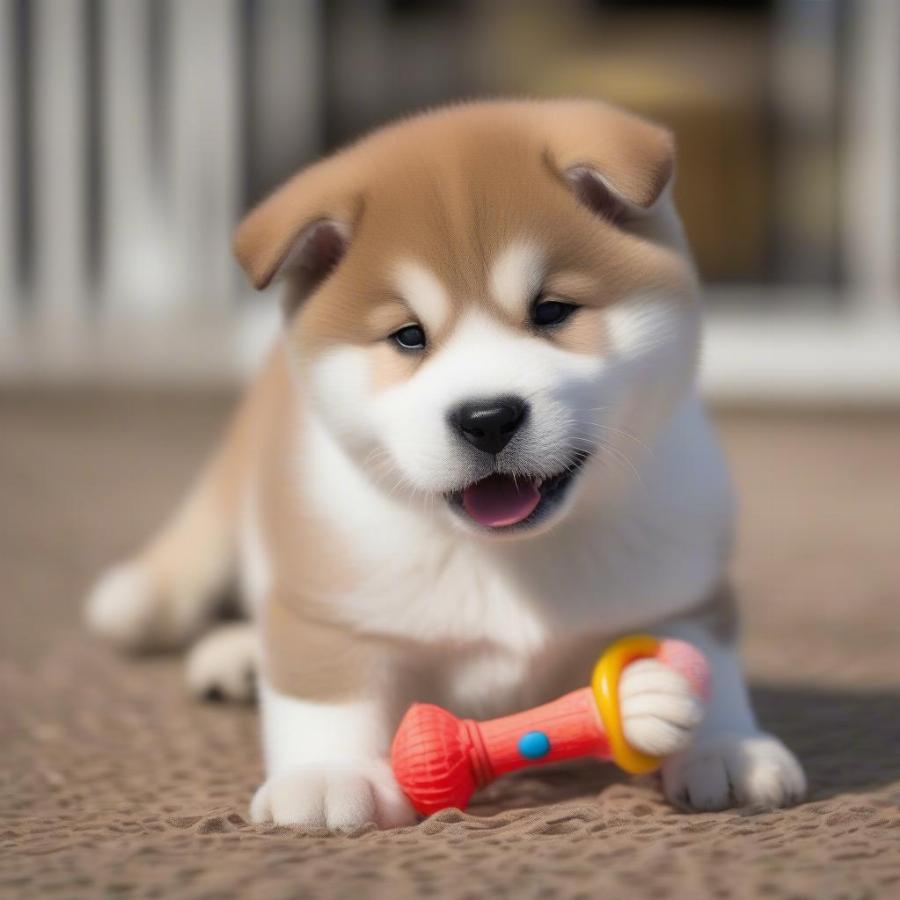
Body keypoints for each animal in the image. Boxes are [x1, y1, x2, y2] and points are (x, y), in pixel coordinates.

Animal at [88, 100, 808, 828]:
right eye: (409, 336)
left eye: (551, 311)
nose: (487, 417)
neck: (507, 560)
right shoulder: (330, 596)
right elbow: (325, 685)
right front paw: (328, 773)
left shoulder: (683, 583)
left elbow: (704, 659)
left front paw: (726, 744)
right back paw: (176, 620)